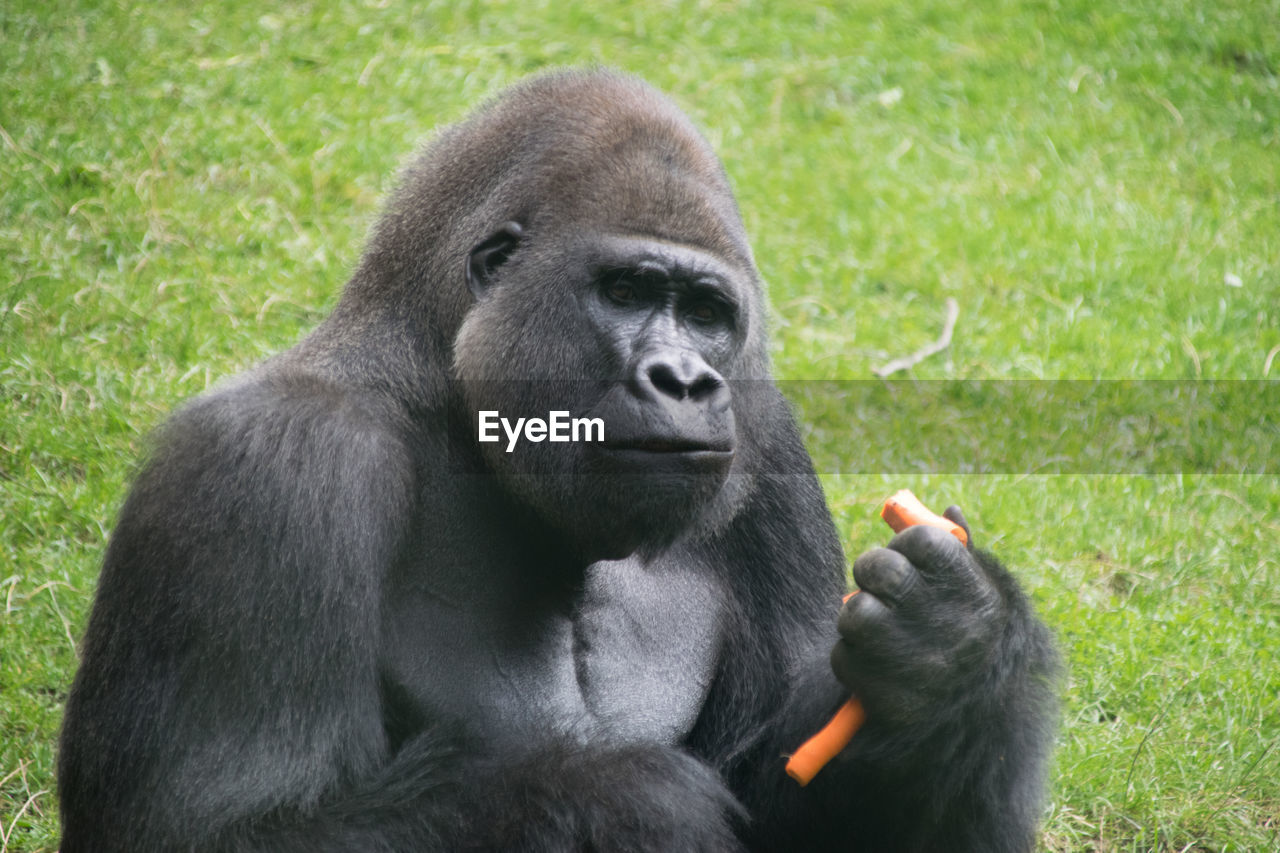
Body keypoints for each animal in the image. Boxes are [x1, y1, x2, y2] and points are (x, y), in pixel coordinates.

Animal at [60, 69, 1054, 845]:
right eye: (627, 291)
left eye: (706, 313)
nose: (684, 379)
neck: (446, 396)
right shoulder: (273, 470)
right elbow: (208, 827)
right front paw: (621, 802)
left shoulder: (767, 440)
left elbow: (782, 777)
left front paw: (953, 650)